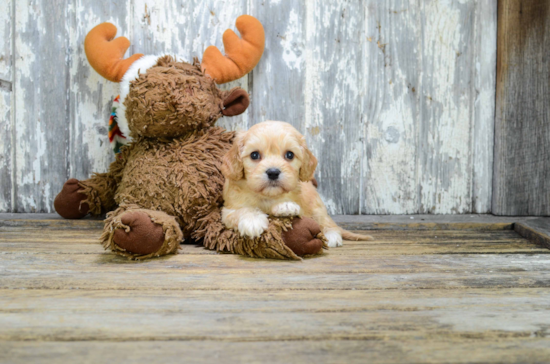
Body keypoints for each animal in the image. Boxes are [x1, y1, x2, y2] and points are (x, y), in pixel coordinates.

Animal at [221, 120, 376, 247]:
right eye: (254, 155)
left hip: (317, 206)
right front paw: (253, 221)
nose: (273, 172)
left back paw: (331, 235)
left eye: (289, 155)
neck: (267, 196)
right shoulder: (228, 210)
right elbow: (243, 210)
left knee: (327, 221)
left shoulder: (302, 207)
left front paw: (285, 206)